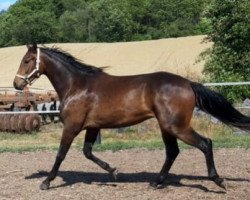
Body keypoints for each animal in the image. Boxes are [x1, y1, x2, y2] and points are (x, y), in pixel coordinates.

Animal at [14, 44, 250, 191]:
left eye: (27, 60)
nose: (17, 84)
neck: (77, 85)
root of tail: (188, 84)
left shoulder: (72, 126)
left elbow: (61, 154)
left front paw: (46, 182)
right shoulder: (92, 127)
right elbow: (88, 152)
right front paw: (113, 172)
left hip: (176, 126)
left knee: (205, 143)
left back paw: (218, 181)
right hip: (167, 127)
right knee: (172, 152)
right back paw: (156, 182)